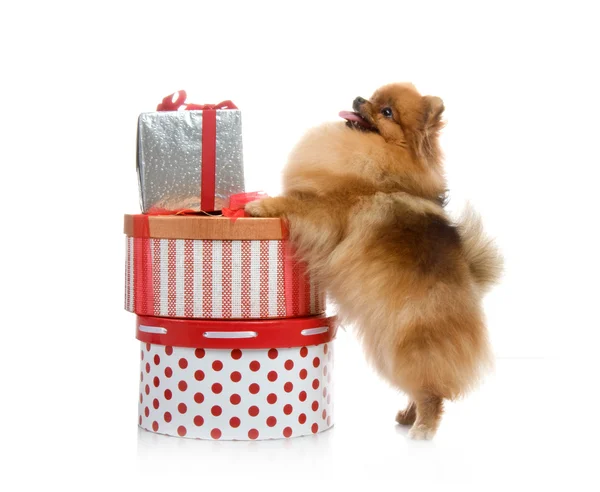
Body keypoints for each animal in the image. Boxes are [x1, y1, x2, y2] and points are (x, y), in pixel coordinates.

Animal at [244, 82, 502, 440]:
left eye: (387, 112)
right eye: (374, 98)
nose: (357, 99)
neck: (381, 162)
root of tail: (473, 287)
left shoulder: (327, 210)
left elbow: (295, 201)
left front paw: (261, 206)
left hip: (412, 344)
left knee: (432, 392)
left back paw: (423, 428)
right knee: (420, 387)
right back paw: (408, 416)